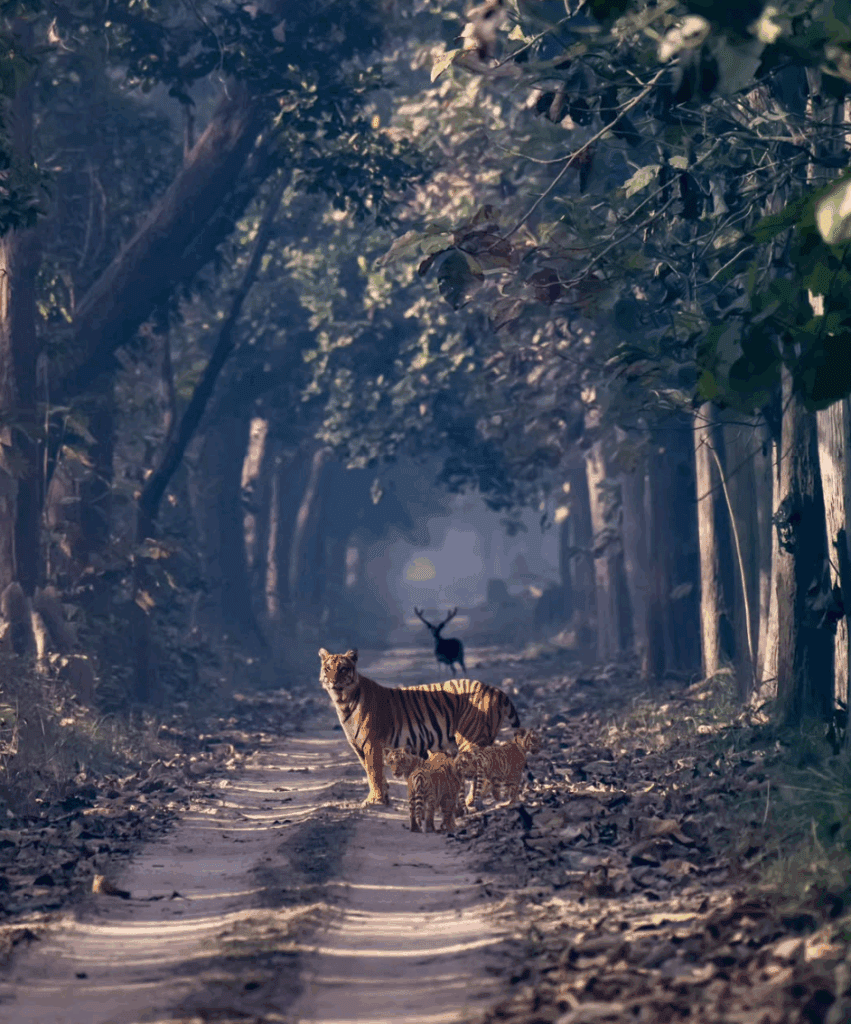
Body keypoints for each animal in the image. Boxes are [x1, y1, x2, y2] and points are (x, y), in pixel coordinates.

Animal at [318, 647, 520, 807]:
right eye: (328, 668)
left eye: (343, 669)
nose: (333, 681)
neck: (343, 702)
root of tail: (494, 689)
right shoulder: (359, 746)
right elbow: (371, 773)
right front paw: (382, 798)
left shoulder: (372, 744)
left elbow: (374, 772)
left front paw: (375, 801)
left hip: (470, 739)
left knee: (480, 772)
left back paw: (472, 802)